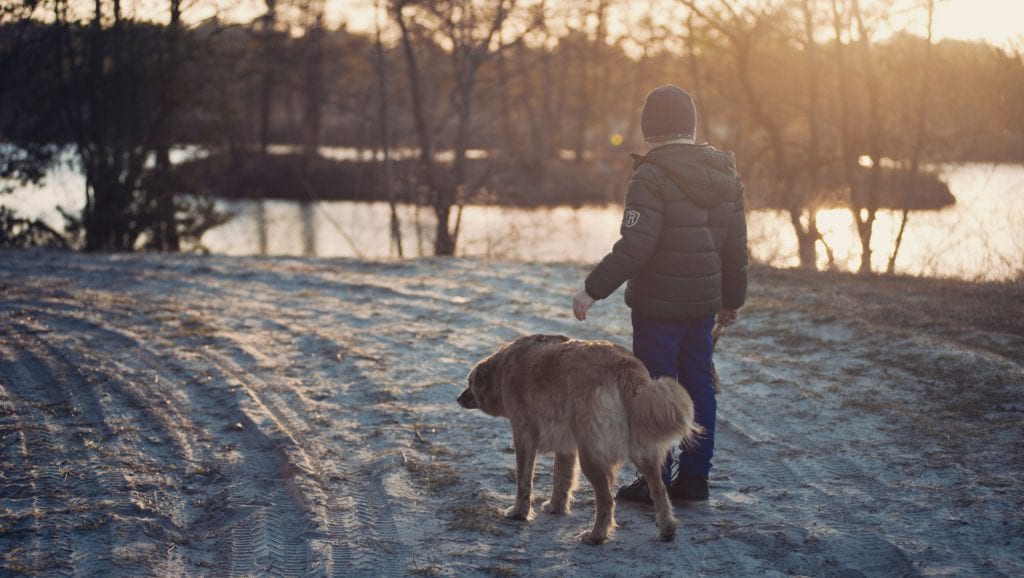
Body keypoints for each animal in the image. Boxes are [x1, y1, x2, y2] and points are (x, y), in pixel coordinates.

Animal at [460, 332, 700, 545]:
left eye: (469, 382)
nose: (458, 398)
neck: (504, 368)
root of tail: (624, 366)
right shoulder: (566, 446)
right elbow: (562, 478)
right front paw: (556, 508)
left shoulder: (523, 435)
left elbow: (524, 481)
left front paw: (519, 513)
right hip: (641, 452)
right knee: (659, 491)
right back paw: (666, 530)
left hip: (591, 455)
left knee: (606, 501)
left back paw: (596, 536)